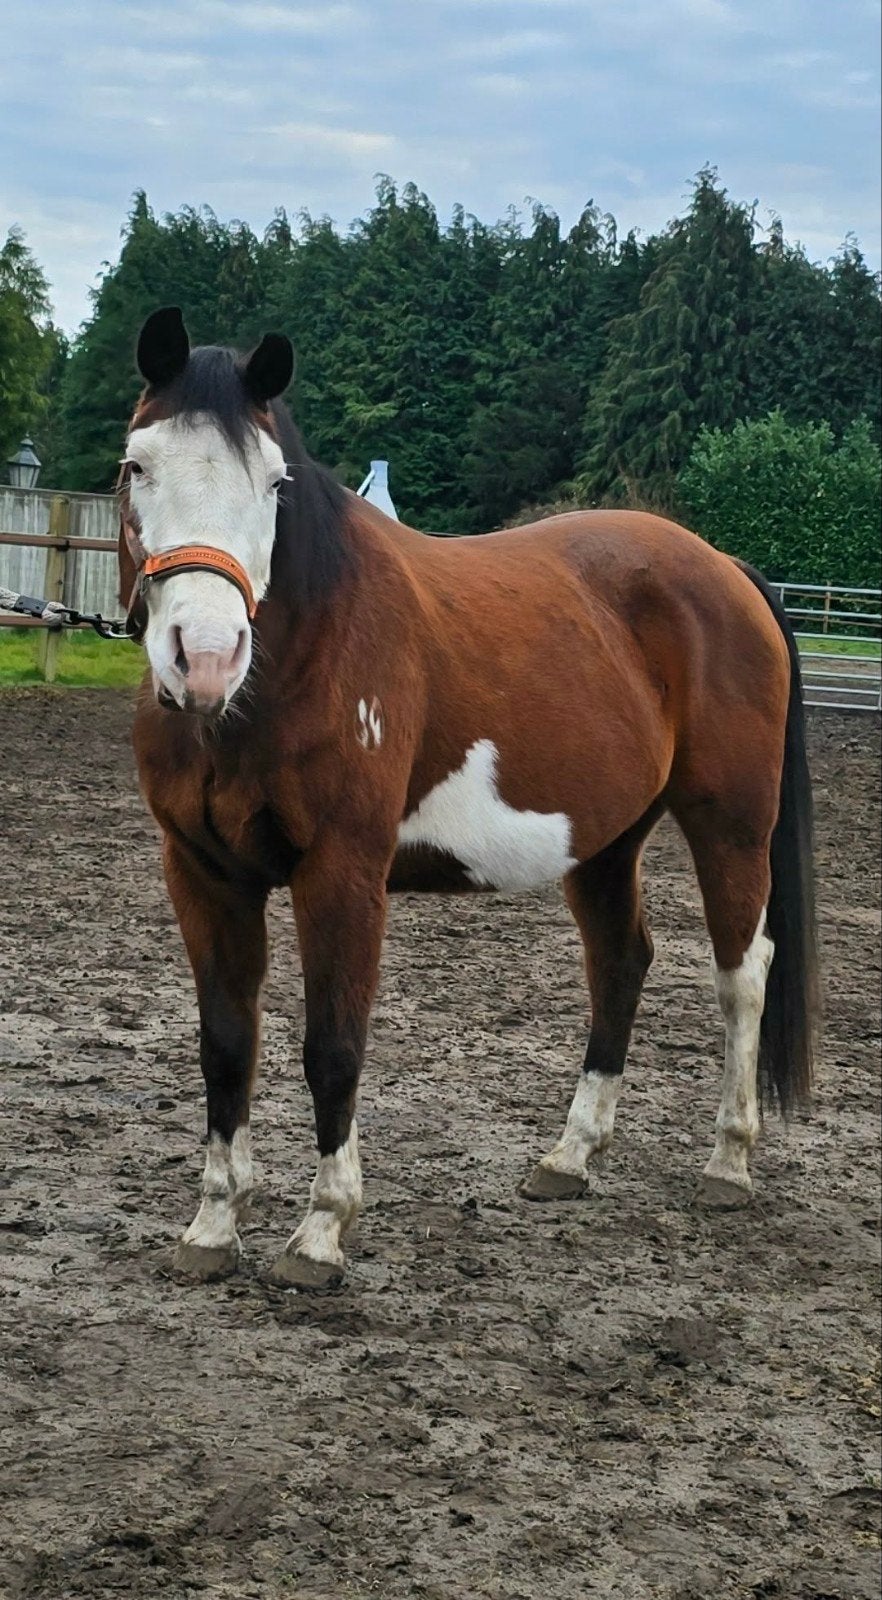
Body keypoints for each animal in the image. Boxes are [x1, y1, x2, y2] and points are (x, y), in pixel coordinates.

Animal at [117, 305, 818, 1289]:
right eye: (136, 465)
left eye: (275, 482)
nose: (207, 658)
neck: (299, 658)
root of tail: (725, 569)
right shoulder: (203, 873)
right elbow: (227, 1044)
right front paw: (214, 1227)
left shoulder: (342, 873)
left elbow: (332, 1046)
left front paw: (321, 1232)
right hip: (607, 843)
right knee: (621, 962)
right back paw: (570, 1157)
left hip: (732, 827)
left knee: (741, 973)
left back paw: (728, 1162)